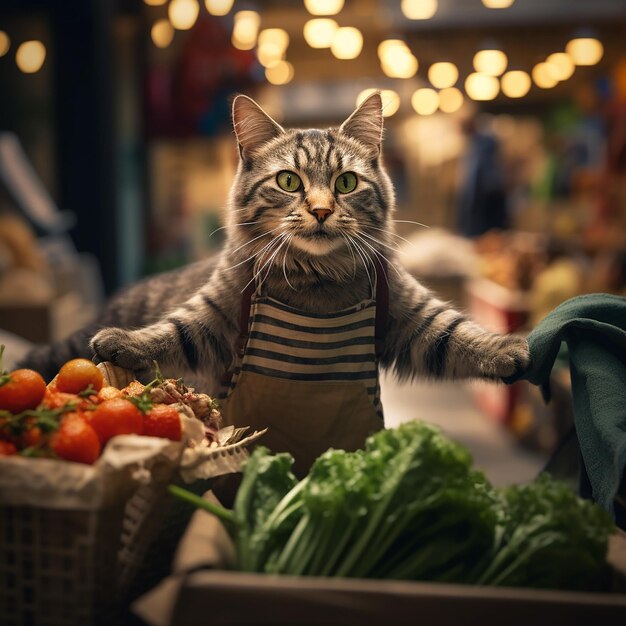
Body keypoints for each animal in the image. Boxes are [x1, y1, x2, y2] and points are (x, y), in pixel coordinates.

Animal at [18, 90, 528, 398]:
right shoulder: (214, 316)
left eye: (346, 183)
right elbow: (171, 332)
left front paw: (509, 350)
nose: (321, 210)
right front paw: (125, 343)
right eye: (288, 181)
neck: (317, 283)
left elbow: (456, 332)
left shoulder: (410, 311)